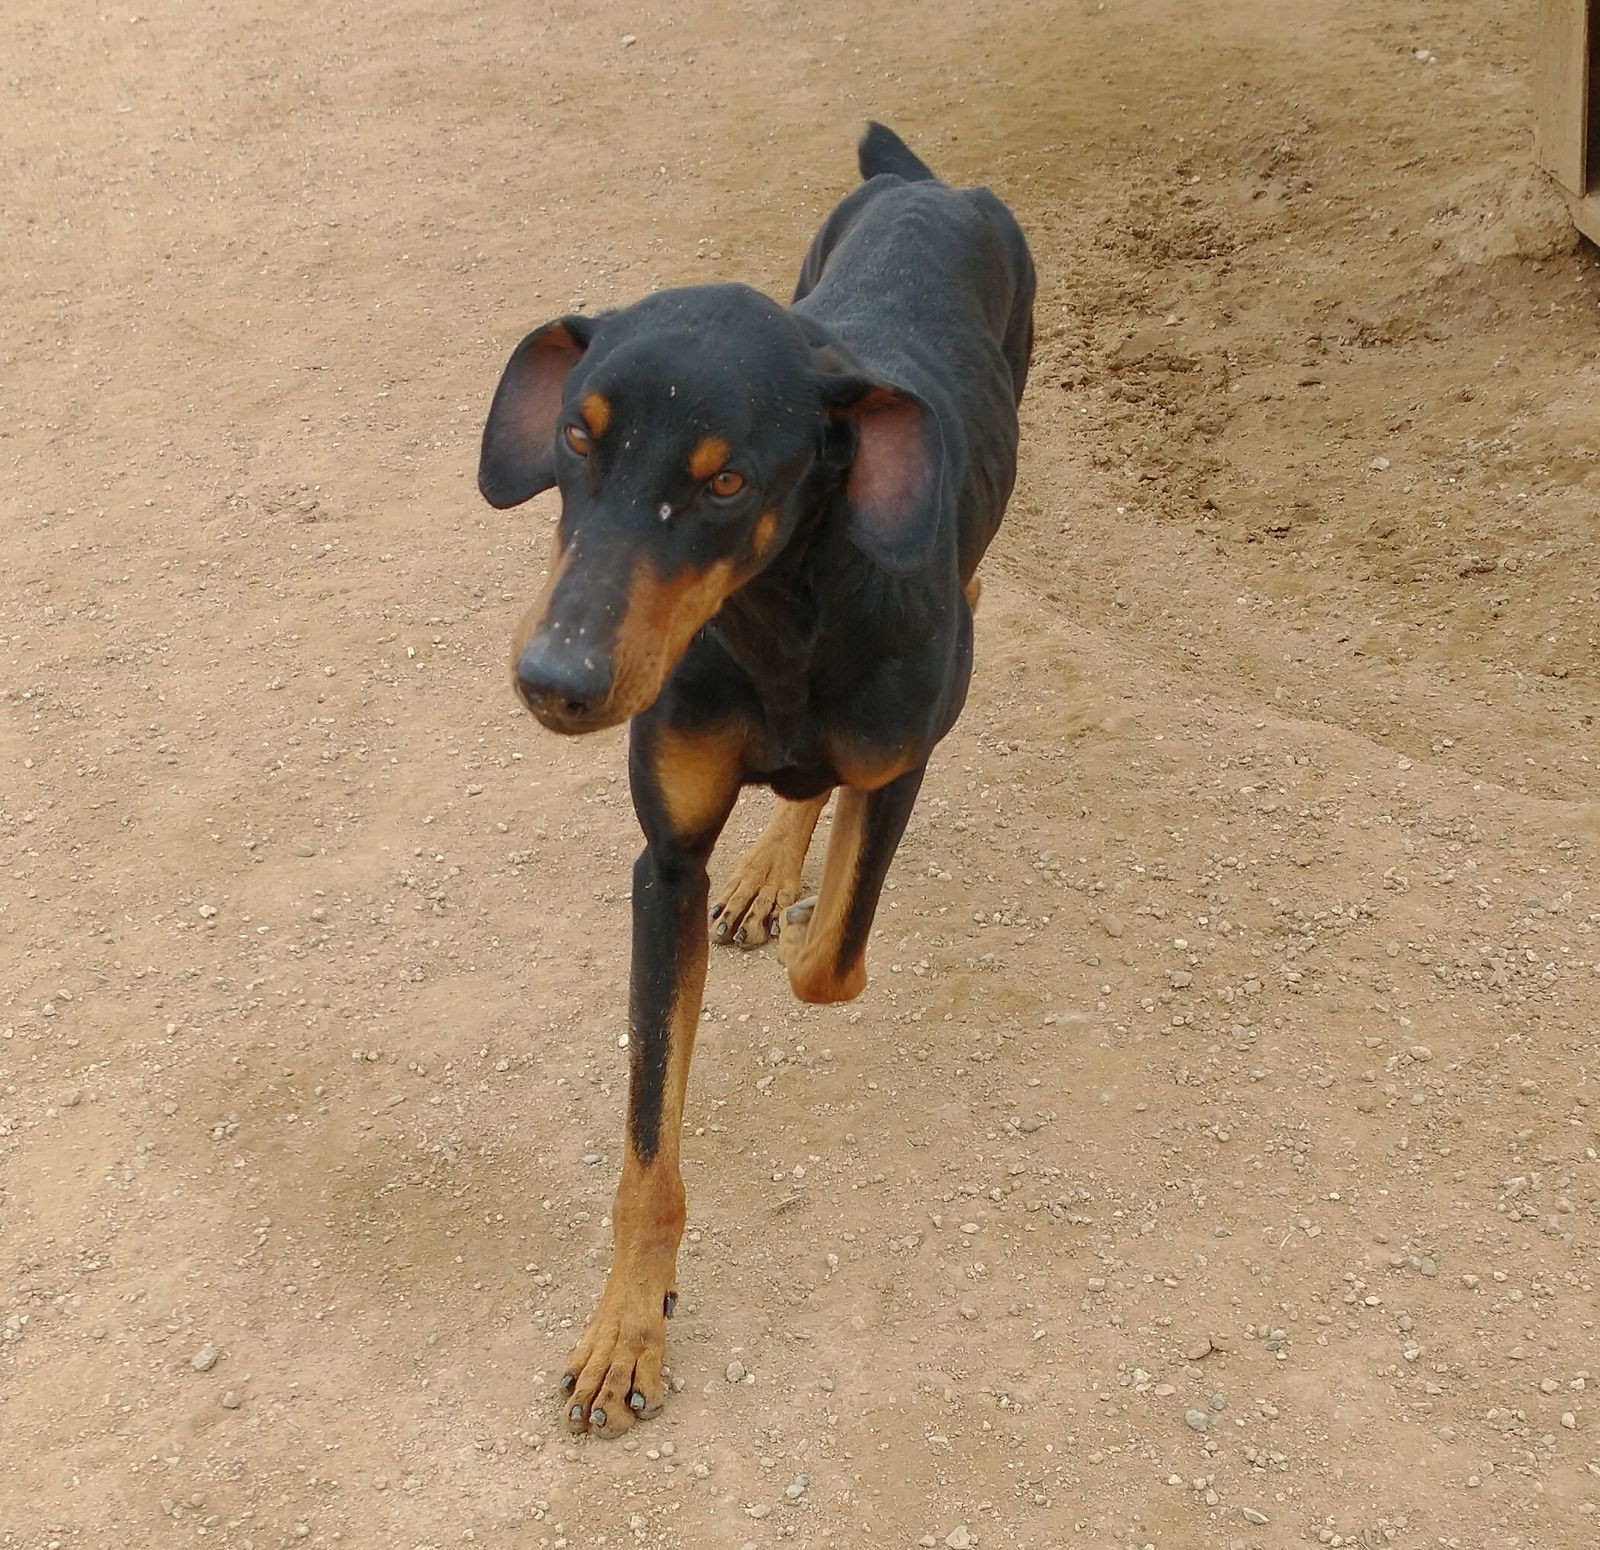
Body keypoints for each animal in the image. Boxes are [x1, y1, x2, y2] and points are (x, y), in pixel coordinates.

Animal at [480, 123, 1030, 1439]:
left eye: (727, 482)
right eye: (578, 438)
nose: (554, 678)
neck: (778, 615)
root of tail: (932, 182)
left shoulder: (902, 758)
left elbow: (829, 963)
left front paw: (805, 903)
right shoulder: (662, 863)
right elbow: (646, 1141)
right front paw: (626, 1329)